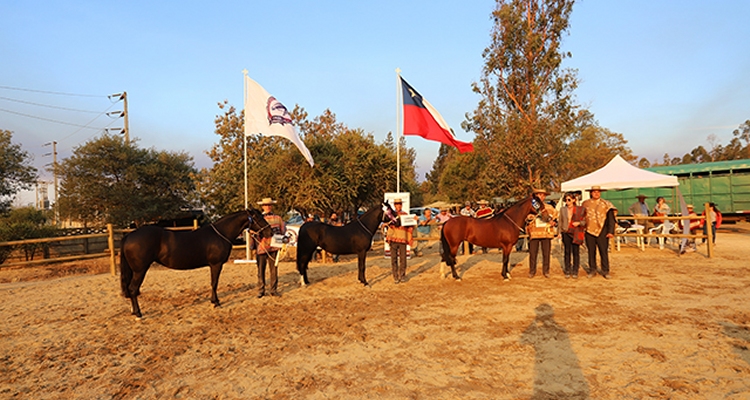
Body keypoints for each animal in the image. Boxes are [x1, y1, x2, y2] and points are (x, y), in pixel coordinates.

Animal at [122, 209, 274, 318]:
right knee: (133, 289)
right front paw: (216, 302)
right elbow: (214, 283)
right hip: (140, 270)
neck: (221, 233)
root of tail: (129, 235)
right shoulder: (216, 264)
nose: (271, 231)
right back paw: (138, 313)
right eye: (258, 218)